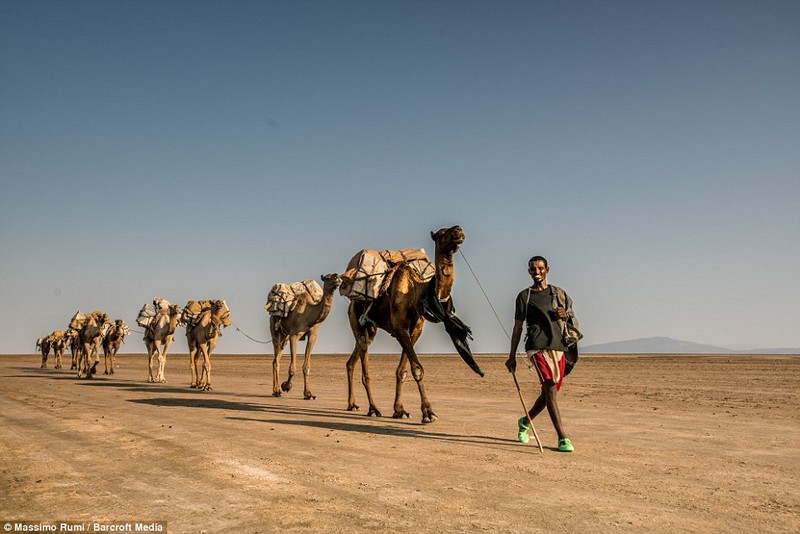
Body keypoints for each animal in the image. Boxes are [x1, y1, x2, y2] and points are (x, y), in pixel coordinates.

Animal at [344, 224, 476, 426]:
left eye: (454, 230)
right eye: (441, 233)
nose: (458, 230)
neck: (417, 292)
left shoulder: (415, 331)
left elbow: (402, 371)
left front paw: (400, 410)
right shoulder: (400, 329)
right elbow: (417, 369)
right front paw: (428, 413)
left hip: (371, 329)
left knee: (352, 361)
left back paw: (352, 404)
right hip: (356, 319)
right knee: (365, 367)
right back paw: (373, 409)